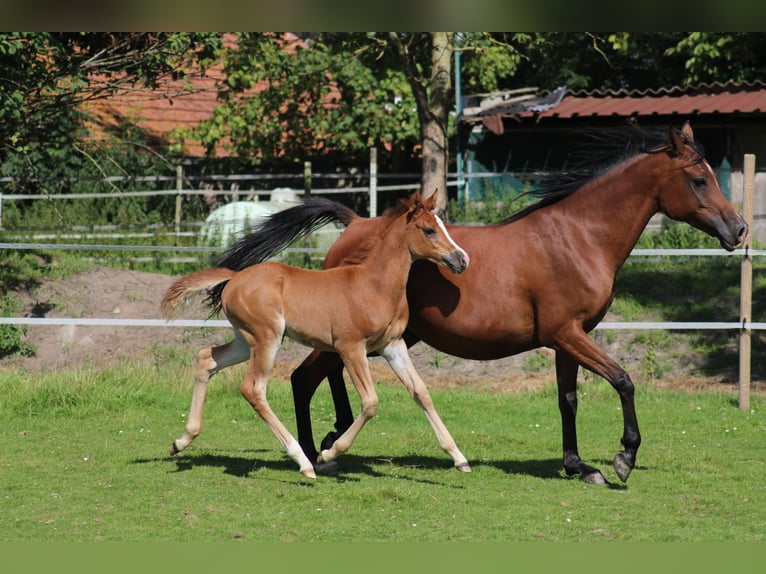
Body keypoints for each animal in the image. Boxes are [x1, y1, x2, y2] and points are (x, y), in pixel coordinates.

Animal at [160, 192, 471, 479]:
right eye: (429, 230)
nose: (462, 259)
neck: (374, 286)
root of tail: (234, 278)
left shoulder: (392, 346)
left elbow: (421, 393)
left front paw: (459, 457)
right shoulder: (350, 347)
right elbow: (370, 402)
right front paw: (328, 453)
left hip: (245, 341)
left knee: (207, 358)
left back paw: (181, 441)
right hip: (266, 339)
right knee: (253, 389)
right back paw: (304, 462)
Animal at [287, 122, 747, 484]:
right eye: (700, 179)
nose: (739, 229)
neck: (580, 238)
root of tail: (354, 224)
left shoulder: (569, 338)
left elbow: (568, 399)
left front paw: (578, 466)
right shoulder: (567, 333)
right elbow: (623, 380)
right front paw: (623, 458)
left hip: (389, 337)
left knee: (317, 375)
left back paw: (327, 443)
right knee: (303, 378)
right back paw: (316, 454)